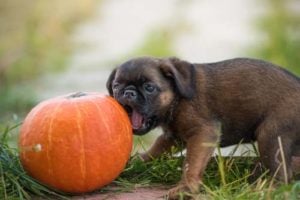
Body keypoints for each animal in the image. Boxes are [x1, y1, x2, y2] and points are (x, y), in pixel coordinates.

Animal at [106, 56, 300, 198]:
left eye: (149, 87)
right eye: (116, 86)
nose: (128, 92)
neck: (177, 99)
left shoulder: (202, 133)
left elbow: (191, 163)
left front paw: (186, 188)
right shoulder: (173, 136)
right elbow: (157, 148)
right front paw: (140, 160)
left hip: (271, 137)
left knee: (283, 175)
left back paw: (263, 190)